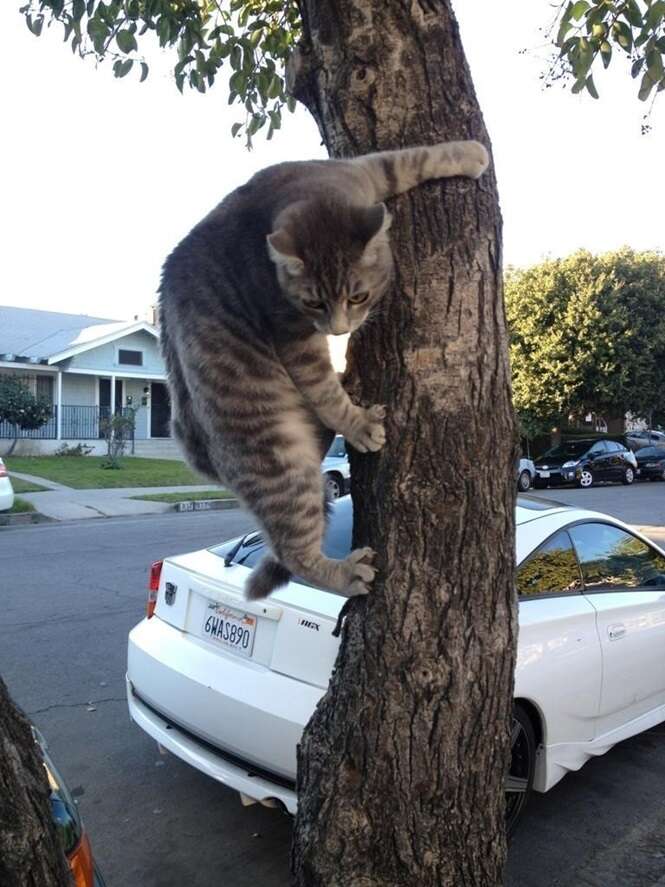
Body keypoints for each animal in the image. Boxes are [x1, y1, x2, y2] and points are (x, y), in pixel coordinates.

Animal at [159, 139, 490, 600]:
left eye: (358, 295)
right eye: (313, 302)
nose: (338, 328)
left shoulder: (366, 171)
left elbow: (415, 159)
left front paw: (466, 154)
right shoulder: (292, 336)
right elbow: (322, 388)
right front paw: (359, 424)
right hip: (283, 465)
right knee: (295, 552)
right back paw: (344, 574)